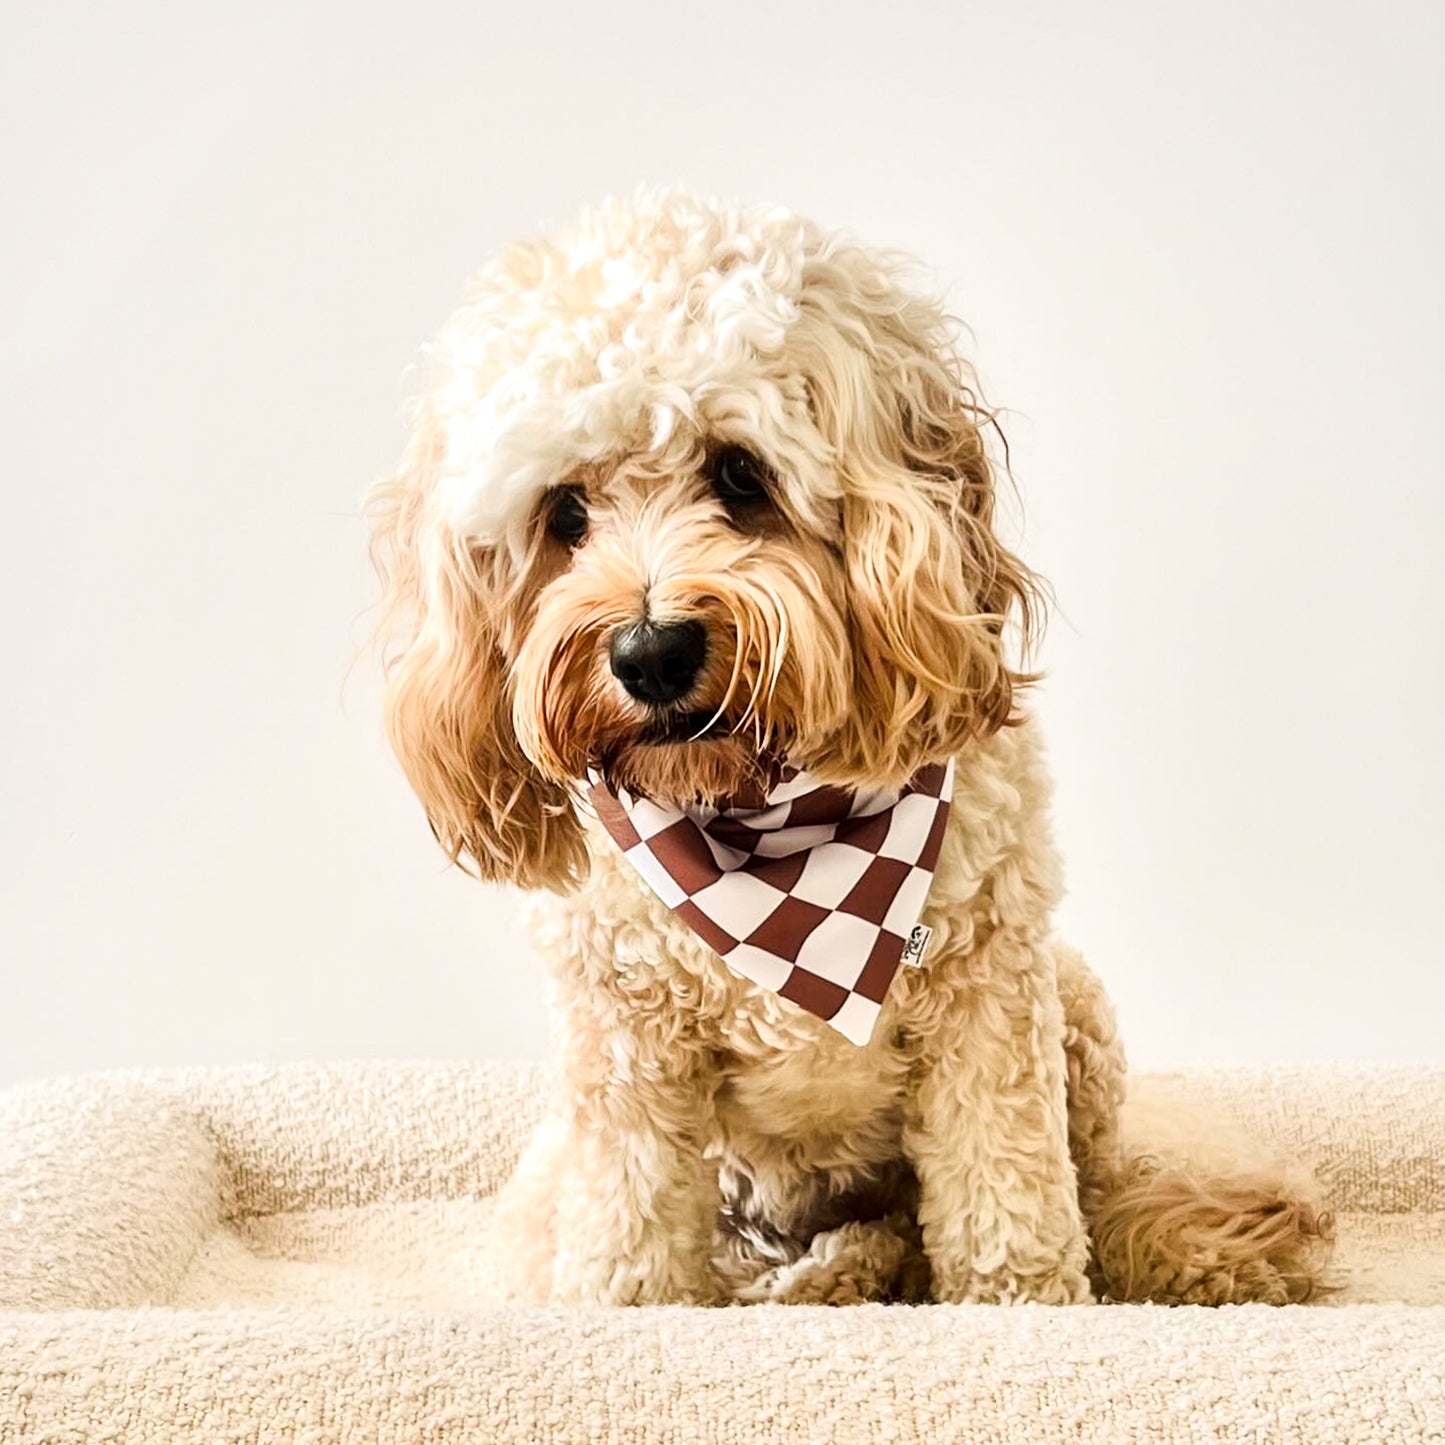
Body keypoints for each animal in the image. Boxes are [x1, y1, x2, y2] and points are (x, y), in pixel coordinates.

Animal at [372, 192, 1329, 1312]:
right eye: (563, 511)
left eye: (739, 473)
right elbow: (628, 1232)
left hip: (1074, 1004)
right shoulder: (624, 1037)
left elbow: (1010, 1202)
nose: (649, 652)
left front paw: (1024, 1309)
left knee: (1095, 1185)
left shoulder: (988, 990)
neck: (763, 819)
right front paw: (630, 1314)